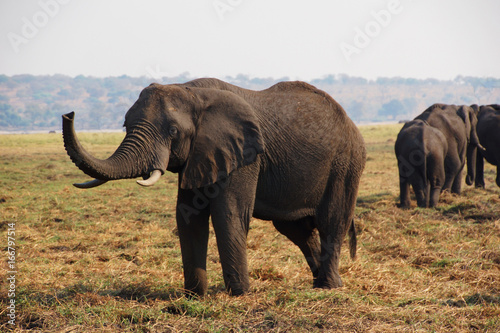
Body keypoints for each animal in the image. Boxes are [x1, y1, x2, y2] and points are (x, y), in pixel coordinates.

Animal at [62, 78, 368, 296]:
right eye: (125, 125)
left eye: (173, 131)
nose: (68, 114)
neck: (192, 91)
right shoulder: (200, 155)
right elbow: (188, 216)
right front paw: (194, 296)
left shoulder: (245, 155)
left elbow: (228, 213)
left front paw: (240, 294)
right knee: (296, 229)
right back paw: (319, 283)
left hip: (346, 163)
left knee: (332, 220)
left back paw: (329, 287)